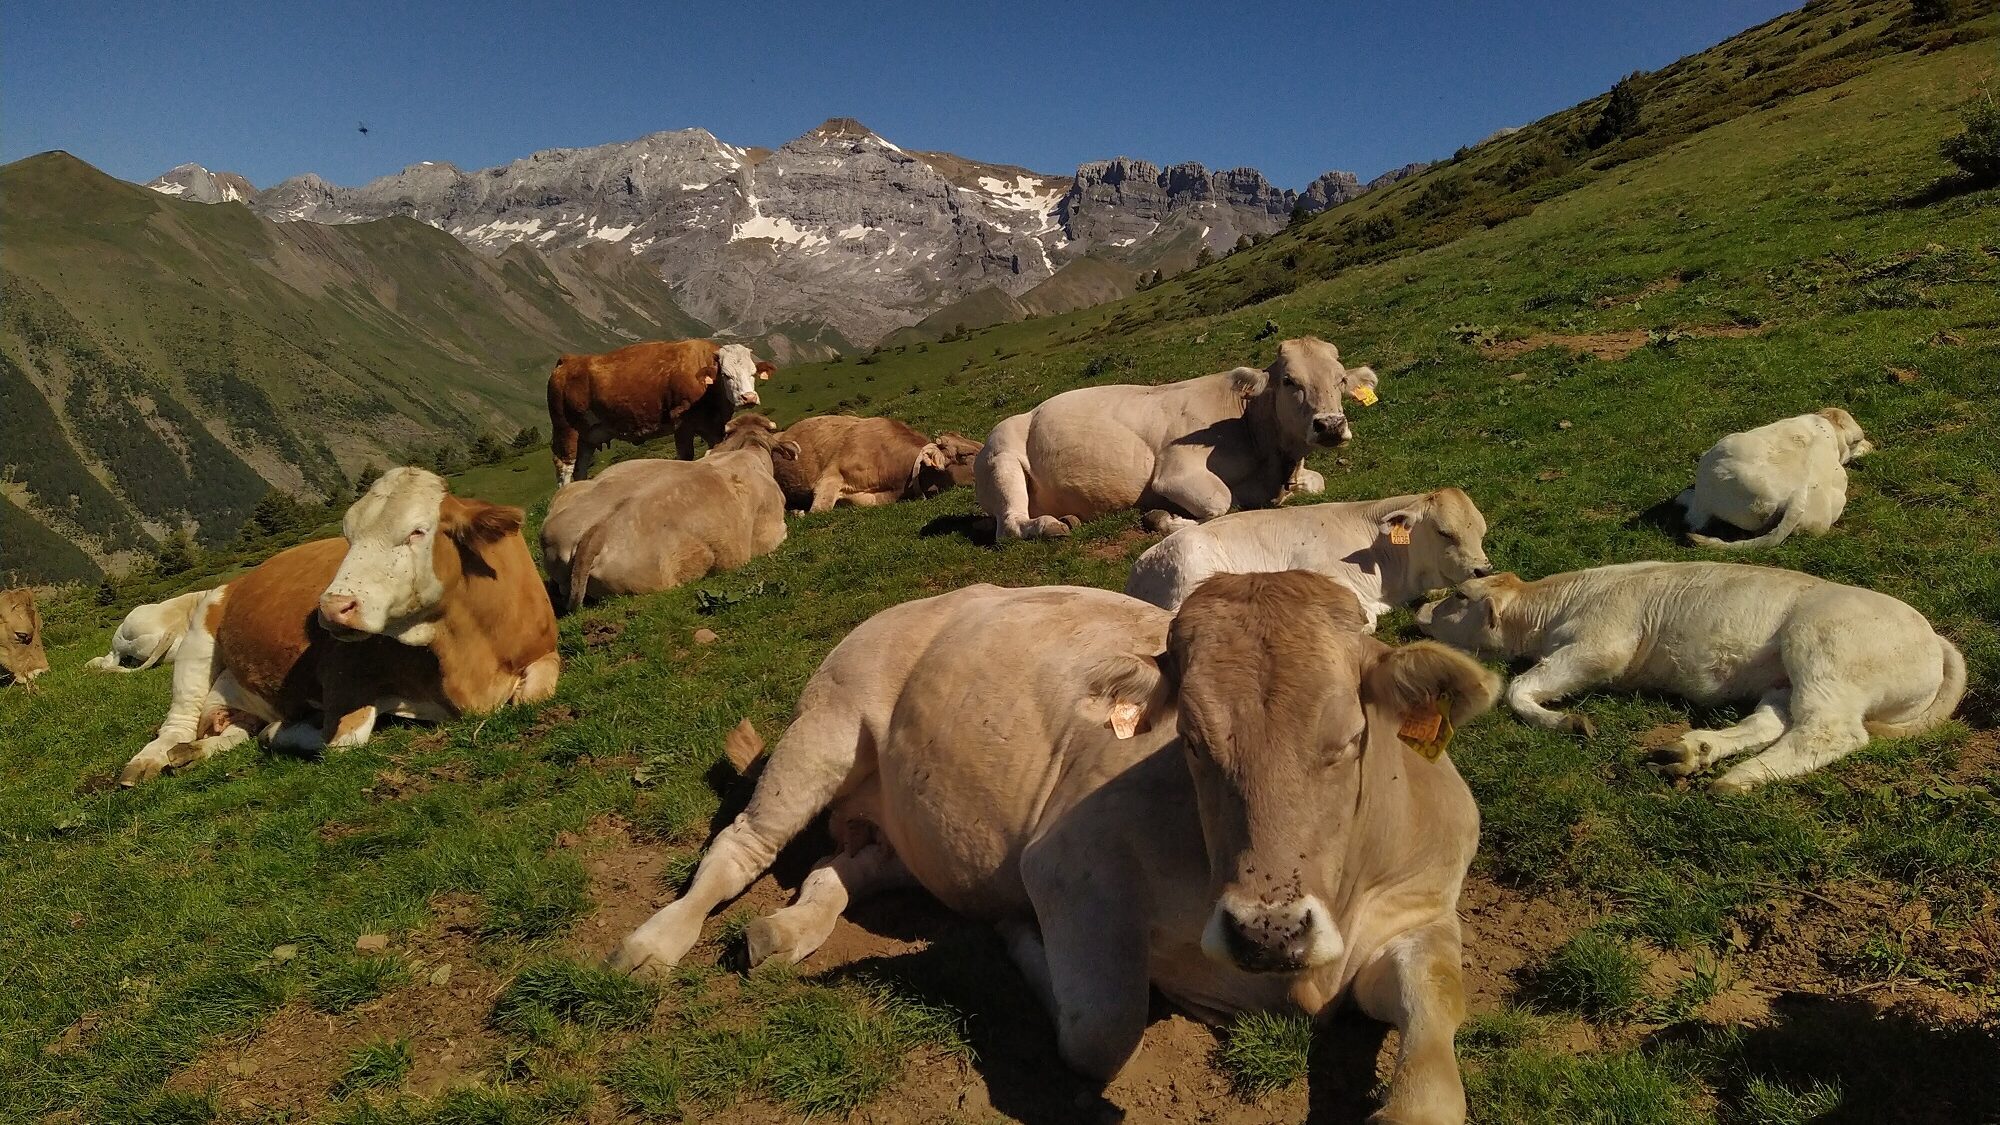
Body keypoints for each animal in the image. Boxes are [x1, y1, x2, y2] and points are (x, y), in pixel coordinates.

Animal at [118, 468, 560, 785]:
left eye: (418, 531)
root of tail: (240, 578)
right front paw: (283, 731)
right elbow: (343, 742)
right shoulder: (342, 678)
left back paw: (199, 750)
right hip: (200, 636)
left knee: (231, 729)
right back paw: (147, 762)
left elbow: (535, 694)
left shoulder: (543, 649)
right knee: (177, 723)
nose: (332, 608)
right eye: (348, 537)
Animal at [546, 339, 773, 486]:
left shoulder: (714, 426)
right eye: (726, 375)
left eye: (753, 372)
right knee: (565, 467)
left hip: (588, 435)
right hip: (565, 428)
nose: (748, 398)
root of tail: (568, 360)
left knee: (580, 467)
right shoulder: (681, 421)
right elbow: (685, 456)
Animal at [609, 572, 1499, 1123]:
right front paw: (1018, 936)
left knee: (841, 866)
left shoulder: (1422, 910)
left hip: (913, 829)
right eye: (1194, 742)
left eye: (1351, 737)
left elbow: (1434, 1061)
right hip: (824, 723)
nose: (1268, 931)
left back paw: (785, 928)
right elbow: (1099, 1027)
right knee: (741, 845)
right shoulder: (1069, 865)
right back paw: (653, 943)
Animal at [975, 337, 1378, 540]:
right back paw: (1051, 526)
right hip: (1002, 460)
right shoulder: (1174, 472)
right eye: (1289, 381)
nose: (1330, 425)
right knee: (1009, 525)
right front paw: (1164, 519)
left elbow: (1318, 482)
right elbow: (1219, 504)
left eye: (1341, 379)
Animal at [1416, 561, 1965, 792]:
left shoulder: (1604, 645)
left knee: (1829, 732)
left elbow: (1517, 689)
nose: (1419, 607)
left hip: (1823, 649)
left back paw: (1737, 779)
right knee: (1772, 722)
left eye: (1460, 596)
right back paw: (1692, 752)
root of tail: (1932, 636)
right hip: (1783, 679)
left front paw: (1570, 722)